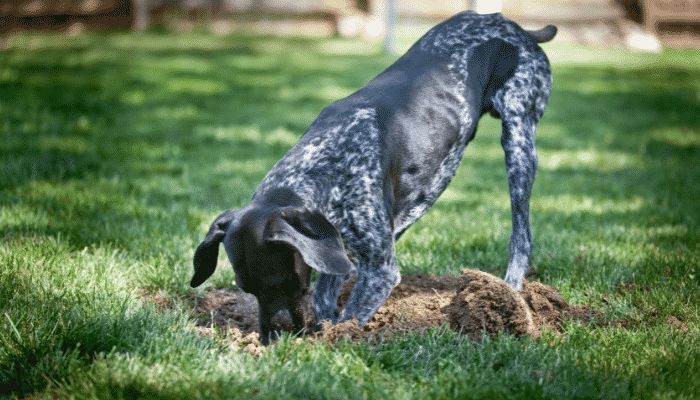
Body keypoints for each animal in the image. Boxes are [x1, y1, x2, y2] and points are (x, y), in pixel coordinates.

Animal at [189, 10, 556, 346]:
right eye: (247, 290)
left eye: (285, 283)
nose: (272, 340)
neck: (320, 166)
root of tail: (516, 28)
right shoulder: (334, 245)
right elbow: (325, 299)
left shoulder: (380, 271)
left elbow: (348, 317)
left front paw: (332, 339)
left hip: (518, 140)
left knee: (522, 236)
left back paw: (511, 293)